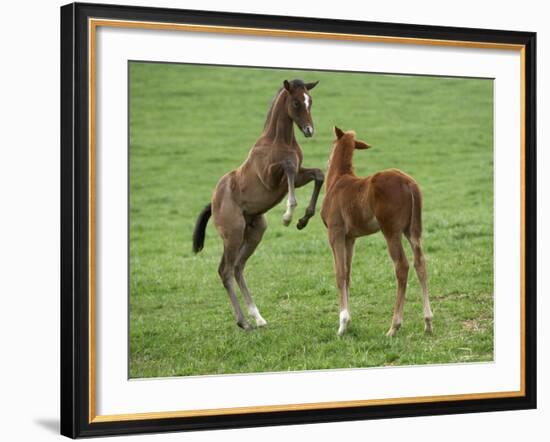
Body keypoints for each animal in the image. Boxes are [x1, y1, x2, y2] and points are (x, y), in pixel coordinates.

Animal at [193, 79, 326, 330]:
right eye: (296, 102)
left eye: (310, 101)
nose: (309, 131)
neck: (279, 141)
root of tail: (214, 201)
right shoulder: (271, 177)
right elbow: (288, 165)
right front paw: (288, 214)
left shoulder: (298, 176)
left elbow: (318, 174)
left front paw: (303, 220)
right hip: (233, 234)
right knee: (225, 271)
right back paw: (244, 322)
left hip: (255, 232)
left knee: (237, 267)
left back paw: (258, 317)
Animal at [322, 126, 434, 336]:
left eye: (332, 144)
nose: (327, 160)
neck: (337, 181)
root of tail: (409, 183)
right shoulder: (350, 238)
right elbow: (348, 274)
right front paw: (348, 322)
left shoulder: (335, 234)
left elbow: (340, 274)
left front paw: (342, 324)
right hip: (412, 230)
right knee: (420, 263)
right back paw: (428, 322)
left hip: (391, 231)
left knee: (402, 266)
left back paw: (394, 326)